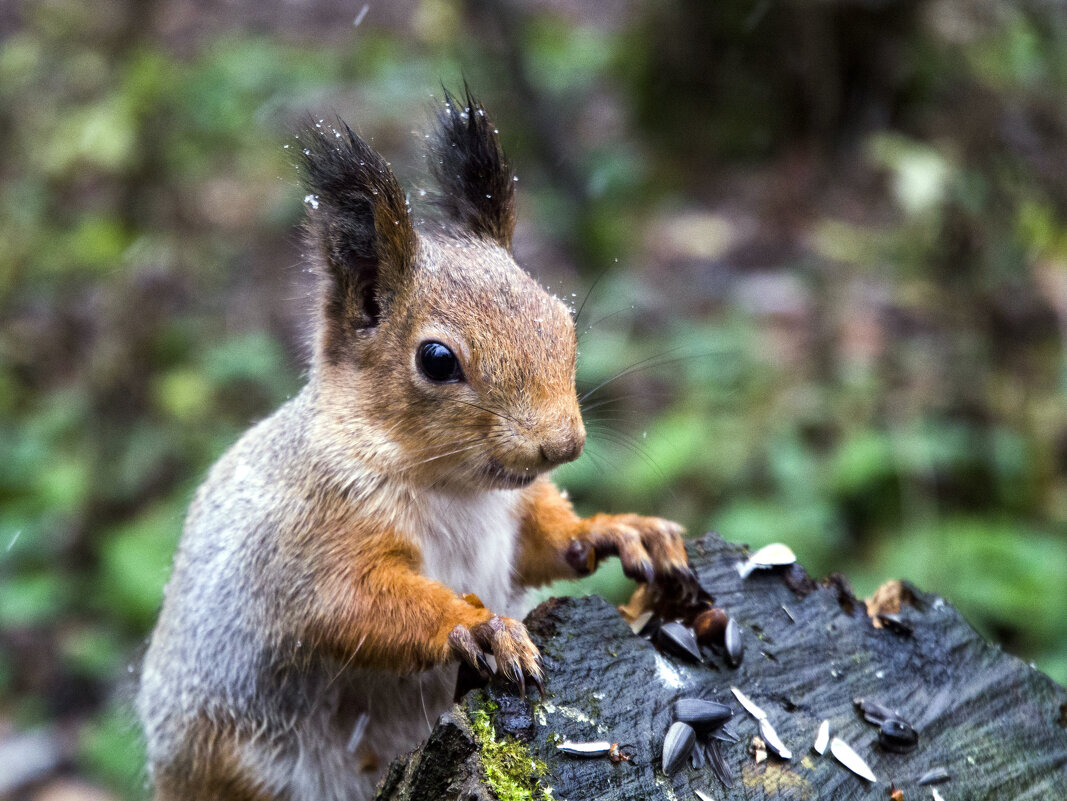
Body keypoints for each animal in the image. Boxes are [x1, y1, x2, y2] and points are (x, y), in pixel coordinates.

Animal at [137, 90, 695, 801]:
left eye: (562, 319)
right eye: (436, 360)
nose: (561, 445)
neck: (456, 489)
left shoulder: (514, 517)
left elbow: (546, 544)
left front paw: (619, 530)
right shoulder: (309, 539)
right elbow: (355, 606)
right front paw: (480, 627)